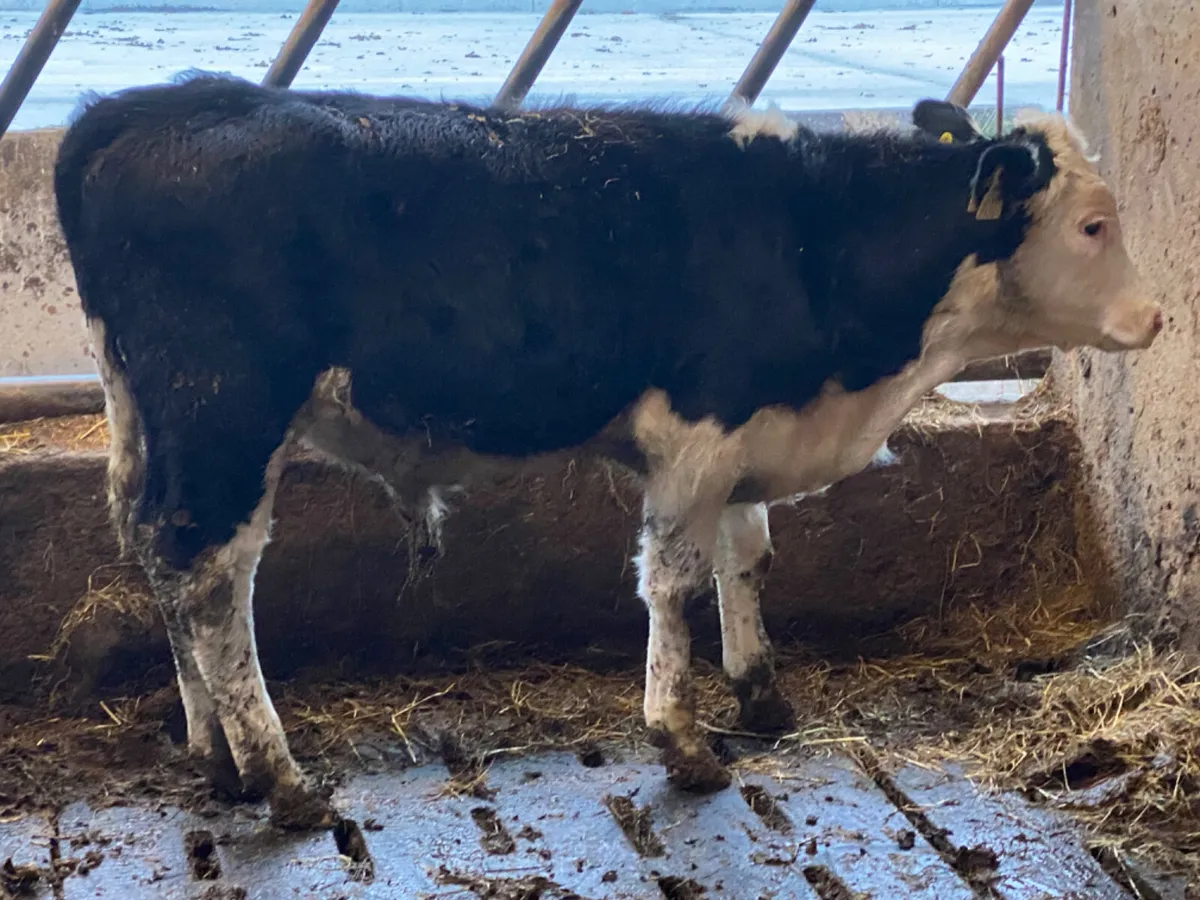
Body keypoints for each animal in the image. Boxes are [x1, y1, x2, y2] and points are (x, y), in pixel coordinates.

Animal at [56, 77, 1161, 830]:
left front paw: (761, 692)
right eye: (1093, 225)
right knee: (213, 579)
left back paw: (214, 753)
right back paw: (276, 776)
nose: (1155, 317)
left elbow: (748, 556)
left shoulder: (745, 429)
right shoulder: (698, 432)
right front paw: (682, 737)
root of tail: (150, 109)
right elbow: (672, 579)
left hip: (148, 418)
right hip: (227, 415)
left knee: (158, 554)